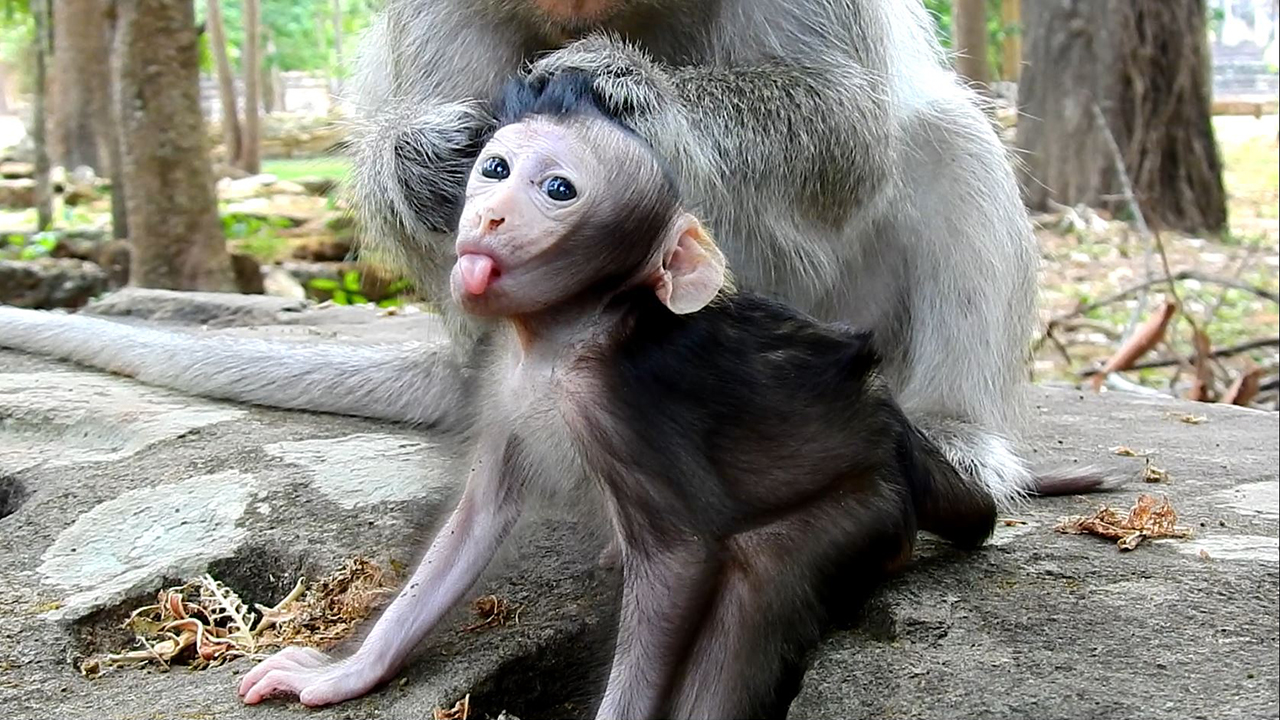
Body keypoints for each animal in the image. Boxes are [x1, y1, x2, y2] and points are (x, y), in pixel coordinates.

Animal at [240, 74, 998, 717]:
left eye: (558, 188)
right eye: (495, 170)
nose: (489, 219)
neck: (565, 335)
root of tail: (888, 421)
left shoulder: (611, 406)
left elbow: (679, 561)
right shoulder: (503, 379)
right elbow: (476, 519)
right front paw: (349, 672)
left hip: (867, 501)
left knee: (760, 577)